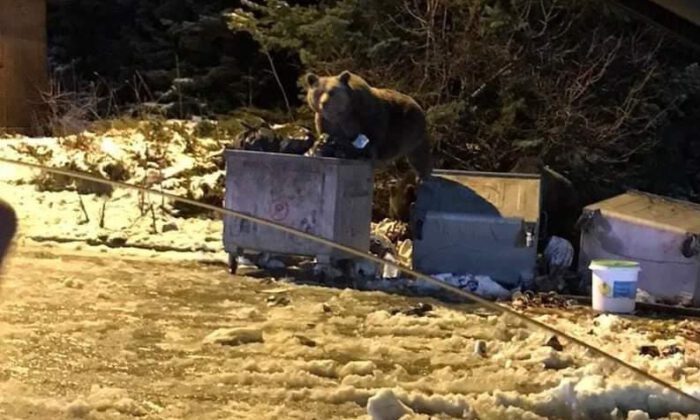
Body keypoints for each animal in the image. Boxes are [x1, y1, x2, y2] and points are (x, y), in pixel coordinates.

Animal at [304, 70, 432, 179]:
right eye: (318, 92)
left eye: (332, 91)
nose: (324, 103)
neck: (342, 114)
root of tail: (416, 103)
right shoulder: (327, 122)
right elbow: (330, 136)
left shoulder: (366, 115)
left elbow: (373, 136)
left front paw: (363, 154)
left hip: (410, 128)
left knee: (418, 155)